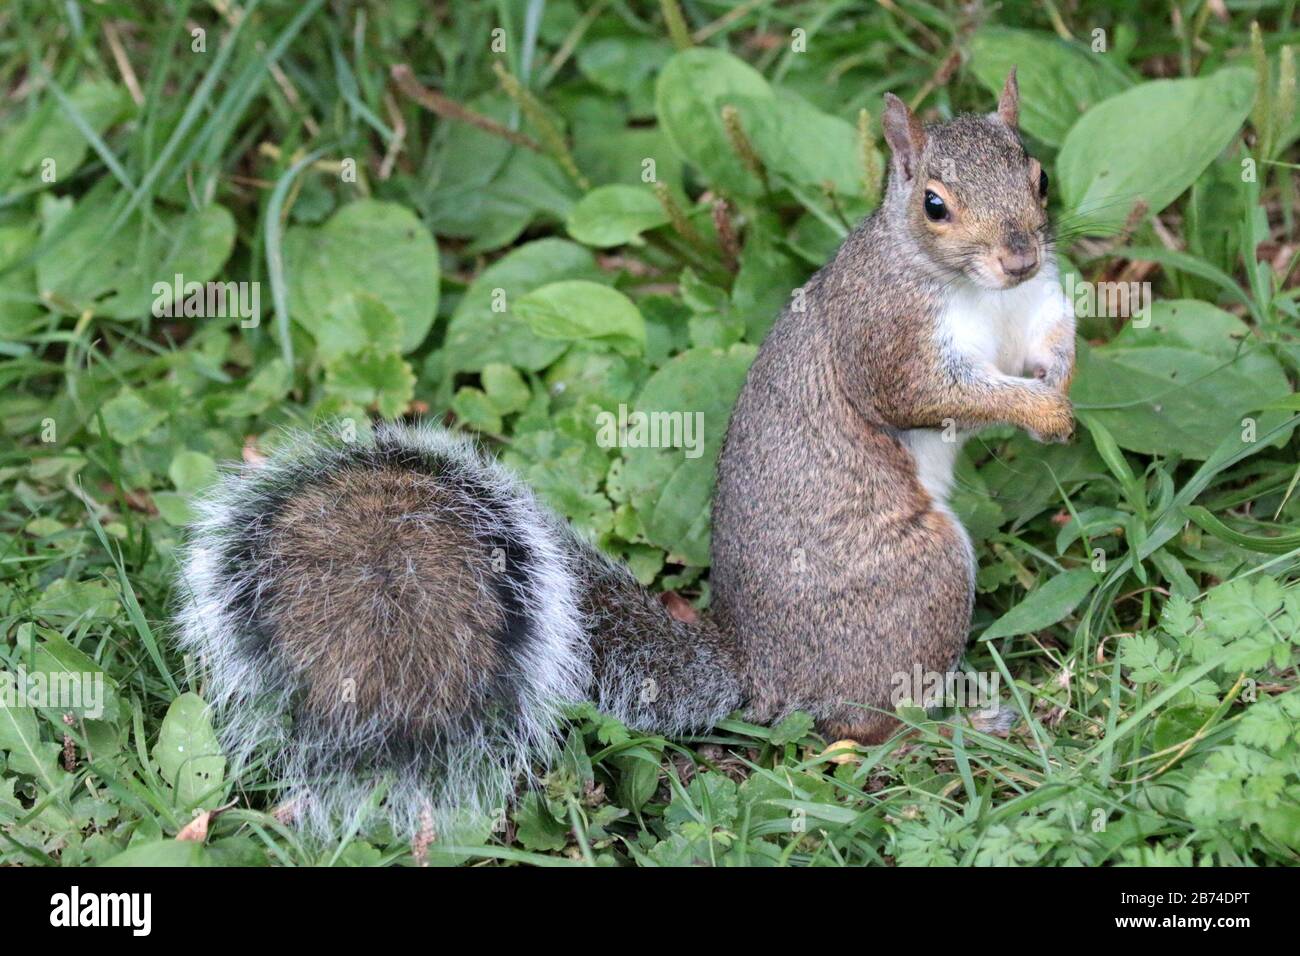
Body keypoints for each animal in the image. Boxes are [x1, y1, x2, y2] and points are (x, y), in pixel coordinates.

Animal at [180, 70, 1076, 837]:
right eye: (935, 204)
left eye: (1038, 174)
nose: (1021, 255)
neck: (981, 295)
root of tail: (758, 672)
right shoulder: (885, 339)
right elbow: (927, 396)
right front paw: (1037, 409)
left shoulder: (1035, 309)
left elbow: (1049, 344)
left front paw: (1061, 386)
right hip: (921, 582)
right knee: (860, 725)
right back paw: (958, 725)